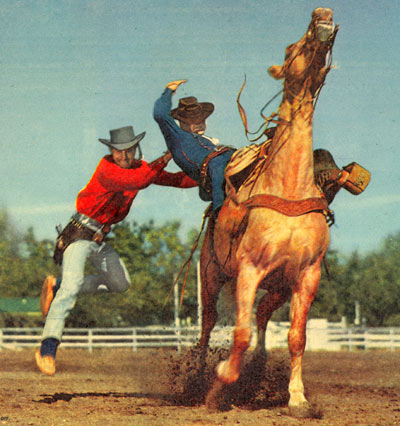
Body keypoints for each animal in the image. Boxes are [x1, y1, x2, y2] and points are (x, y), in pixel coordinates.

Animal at [198, 6, 340, 412]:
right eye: (291, 48)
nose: (322, 14)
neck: (288, 188)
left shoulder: (306, 276)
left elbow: (296, 337)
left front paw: (297, 397)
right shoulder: (249, 269)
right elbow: (240, 334)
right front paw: (219, 385)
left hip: (277, 288)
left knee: (262, 319)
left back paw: (259, 368)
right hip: (211, 275)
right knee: (208, 325)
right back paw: (197, 375)